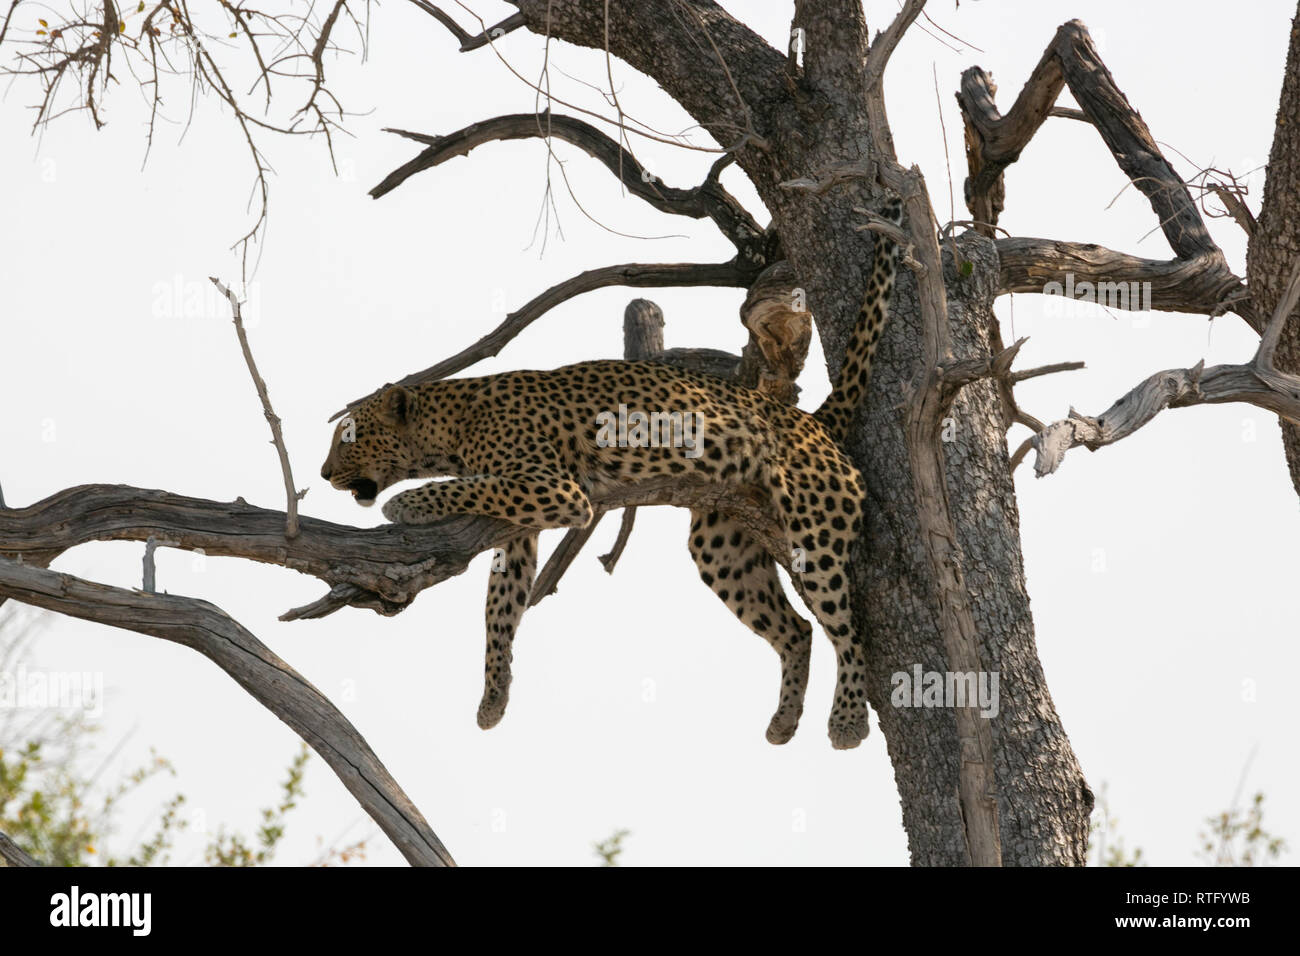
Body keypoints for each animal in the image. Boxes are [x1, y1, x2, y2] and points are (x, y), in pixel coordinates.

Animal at [320, 198, 903, 750]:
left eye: (348, 436)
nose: (324, 474)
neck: (452, 423)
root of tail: (811, 420)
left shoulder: (554, 487)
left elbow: (472, 487)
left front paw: (408, 504)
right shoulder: (522, 530)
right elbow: (499, 609)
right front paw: (493, 697)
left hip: (815, 527)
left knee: (847, 628)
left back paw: (848, 721)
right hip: (723, 546)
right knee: (798, 629)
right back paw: (783, 722)